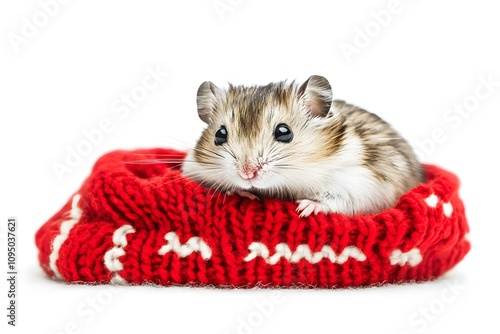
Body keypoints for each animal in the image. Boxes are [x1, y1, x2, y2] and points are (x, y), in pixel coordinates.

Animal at [182, 75, 424, 217]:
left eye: (284, 132)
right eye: (220, 135)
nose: (247, 174)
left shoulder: (361, 184)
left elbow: (338, 200)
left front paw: (305, 207)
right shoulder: (193, 168)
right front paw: (241, 192)